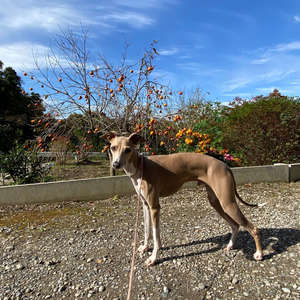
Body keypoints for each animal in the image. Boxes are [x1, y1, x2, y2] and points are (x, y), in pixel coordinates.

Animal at [101, 132, 264, 266]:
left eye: (128, 150)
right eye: (113, 148)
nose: (115, 164)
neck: (142, 166)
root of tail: (225, 165)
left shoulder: (155, 207)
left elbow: (156, 235)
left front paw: (153, 258)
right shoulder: (146, 206)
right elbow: (147, 230)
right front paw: (145, 247)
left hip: (227, 203)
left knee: (253, 228)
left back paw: (259, 254)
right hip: (217, 203)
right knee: (235, 225)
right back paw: (230, 245)